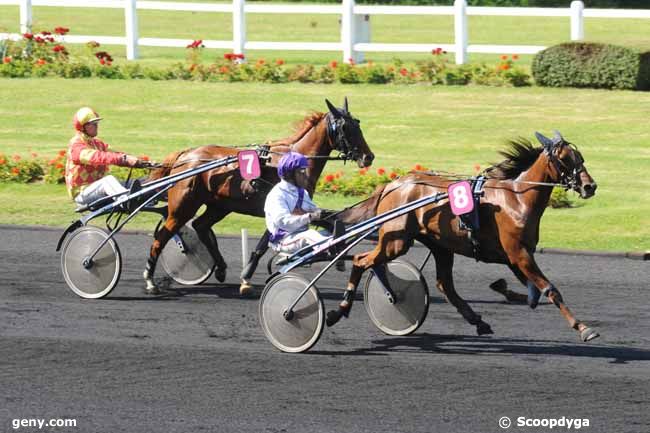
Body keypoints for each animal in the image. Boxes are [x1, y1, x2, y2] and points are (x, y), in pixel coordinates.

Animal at [144, 99, 372, 292]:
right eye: (345, 127)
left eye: (357, 123)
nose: (368, 157)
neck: (293, 162)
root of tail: (185, 155)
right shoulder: (278, 211)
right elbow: (263, 245)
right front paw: (246, 276)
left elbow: (325, 221)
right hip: (183, 206)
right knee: (163, 236)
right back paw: (150, 279)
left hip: (220, 205)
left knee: (200, 226)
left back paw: (220, 268)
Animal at [330, 131, 596, 340]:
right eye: (564, 159)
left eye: (581, 157)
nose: (590, 186)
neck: (517, 198)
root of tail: (392, 185)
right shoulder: (518, 254)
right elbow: (549, 289)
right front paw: (583, 328)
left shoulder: (517, 256)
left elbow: (533, 293)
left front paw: (505, 289)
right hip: (396, 241)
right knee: (361, 260)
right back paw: (339, 310)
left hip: (440, 245)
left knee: (444, 285)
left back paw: (478, 321)